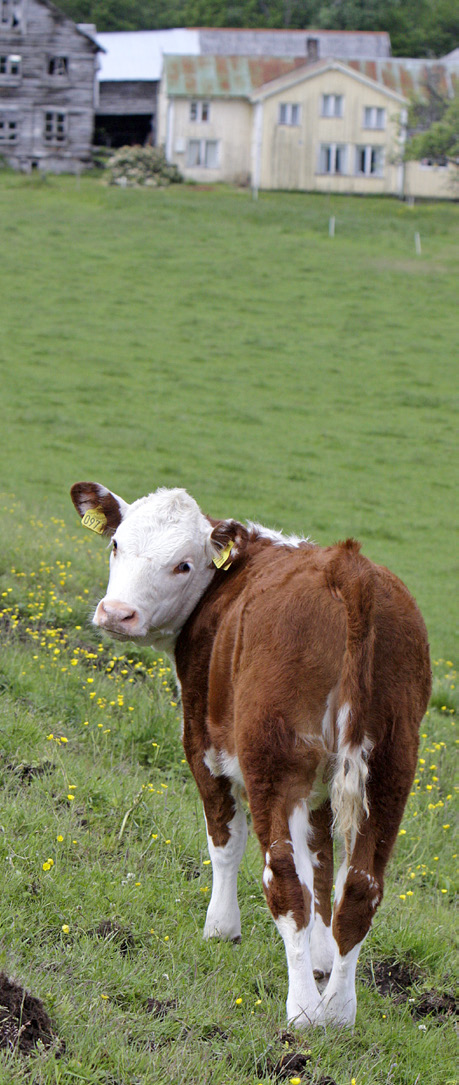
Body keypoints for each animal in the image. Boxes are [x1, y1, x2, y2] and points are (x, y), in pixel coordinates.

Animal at [71, 481, 431, 1024]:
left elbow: (226, 840)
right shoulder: (319, 787)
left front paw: (221, 929)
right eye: (116, 544)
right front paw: (322, 960)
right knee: (360, 887)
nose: (117, 614)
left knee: (282, 879)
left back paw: (302, 1010)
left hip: (271, 758)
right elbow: (321, 863)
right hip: (390, 766)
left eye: (184, 564)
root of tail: (350, 571)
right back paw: (337, 1012)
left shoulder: (202, 744)